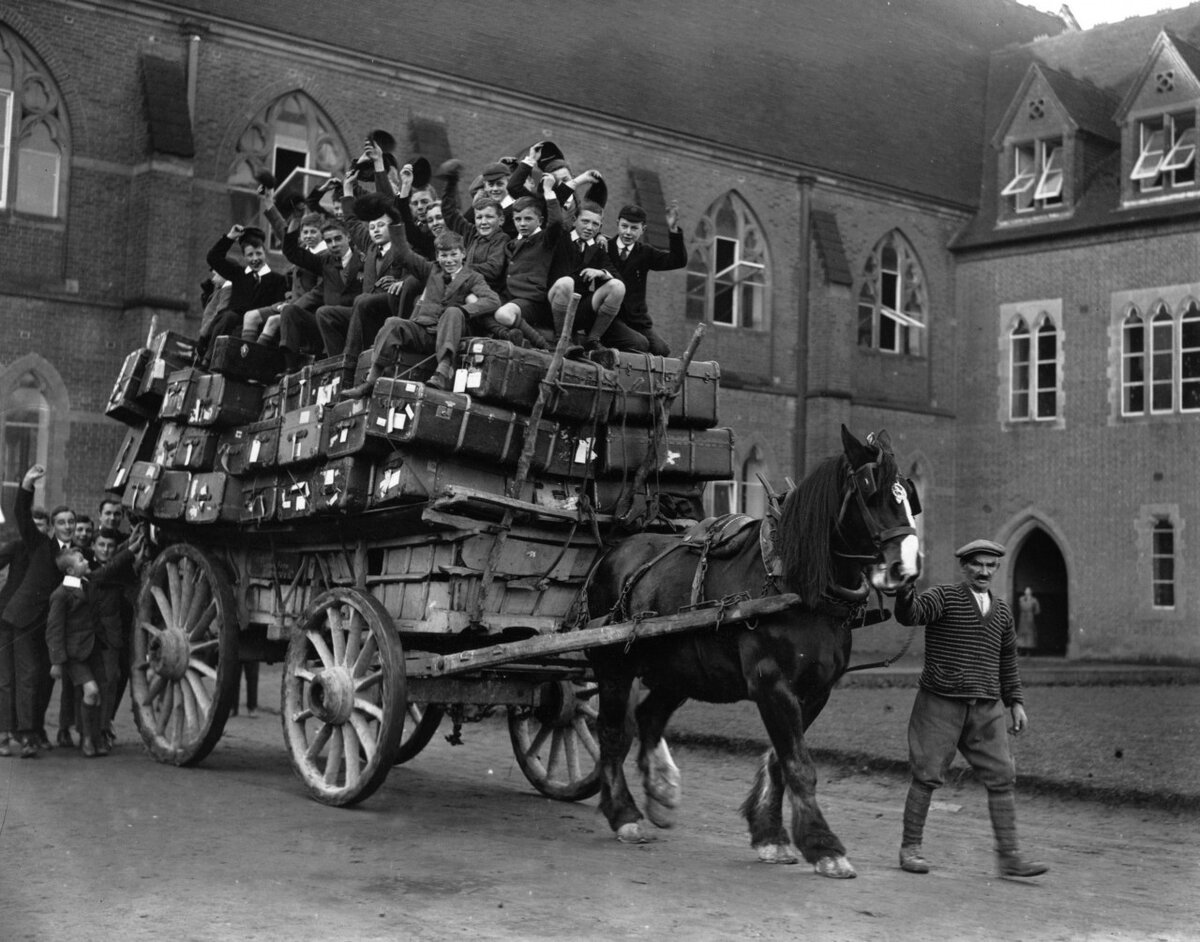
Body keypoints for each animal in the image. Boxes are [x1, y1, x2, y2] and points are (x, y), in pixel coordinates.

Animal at [585, 427, 921, 873]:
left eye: (908, 497)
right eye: (872, 492)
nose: (906, 568)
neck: (794, 583)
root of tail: (614, 552)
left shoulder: (815, 691)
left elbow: (781, 760)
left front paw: (770, 835)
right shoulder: (771, 684)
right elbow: (798, 764)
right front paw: (823, 845)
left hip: (681, 669)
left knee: (647, 715)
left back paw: (660, 789)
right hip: (614, 669)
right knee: (612, 732)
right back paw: (623, 812)